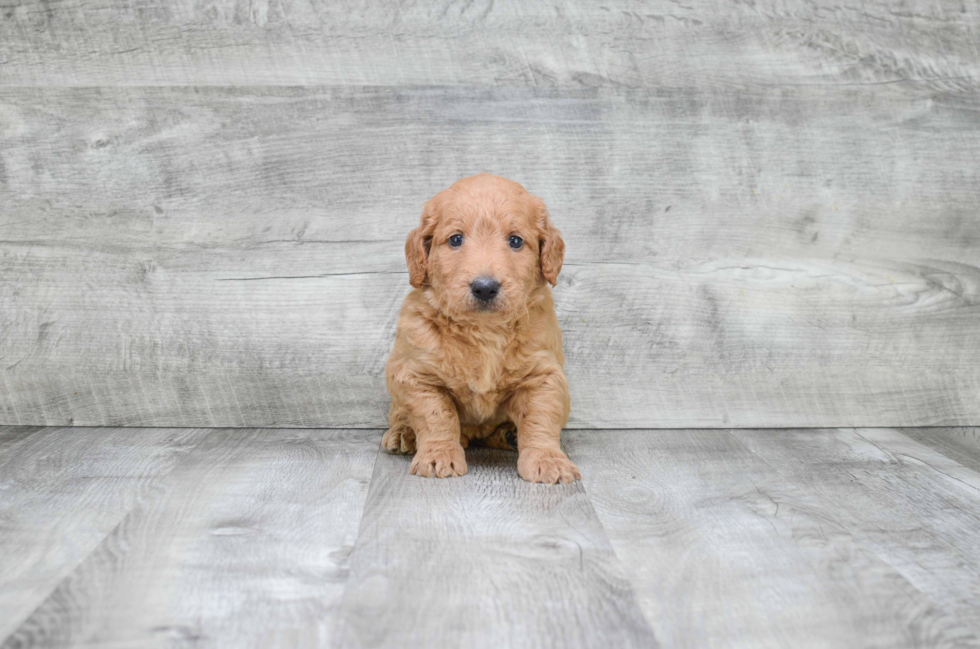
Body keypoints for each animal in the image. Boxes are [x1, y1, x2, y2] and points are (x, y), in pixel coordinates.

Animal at [382, 172, 580, 480]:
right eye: (455, 239)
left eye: (515, 241)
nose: (485, 287)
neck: (484, 331)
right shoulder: (415, 374)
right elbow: (437, 415)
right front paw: (439, 455)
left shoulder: (544, 375)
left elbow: (540, 419)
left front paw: (548, 460)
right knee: (399, 412)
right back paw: (403, 434)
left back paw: (509, 434)